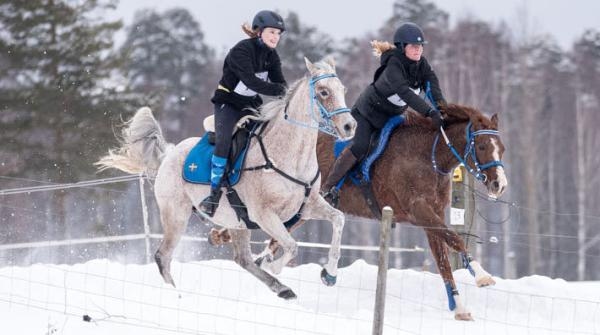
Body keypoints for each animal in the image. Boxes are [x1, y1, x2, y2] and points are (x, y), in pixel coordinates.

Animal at [95, 57, 354, 300]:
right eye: (323, 91)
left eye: (342, 89)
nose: (350, 126)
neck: (289, 157)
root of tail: (169, 154)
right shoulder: (264, 215)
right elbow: (291, 246)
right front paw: (272, 264)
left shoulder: (308, 205)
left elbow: (338, 220)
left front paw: (329, 274)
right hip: (176, 215)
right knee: (163, 256)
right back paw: (176, 295)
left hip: (237, 222)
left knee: (242, 259)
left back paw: (281, 289)